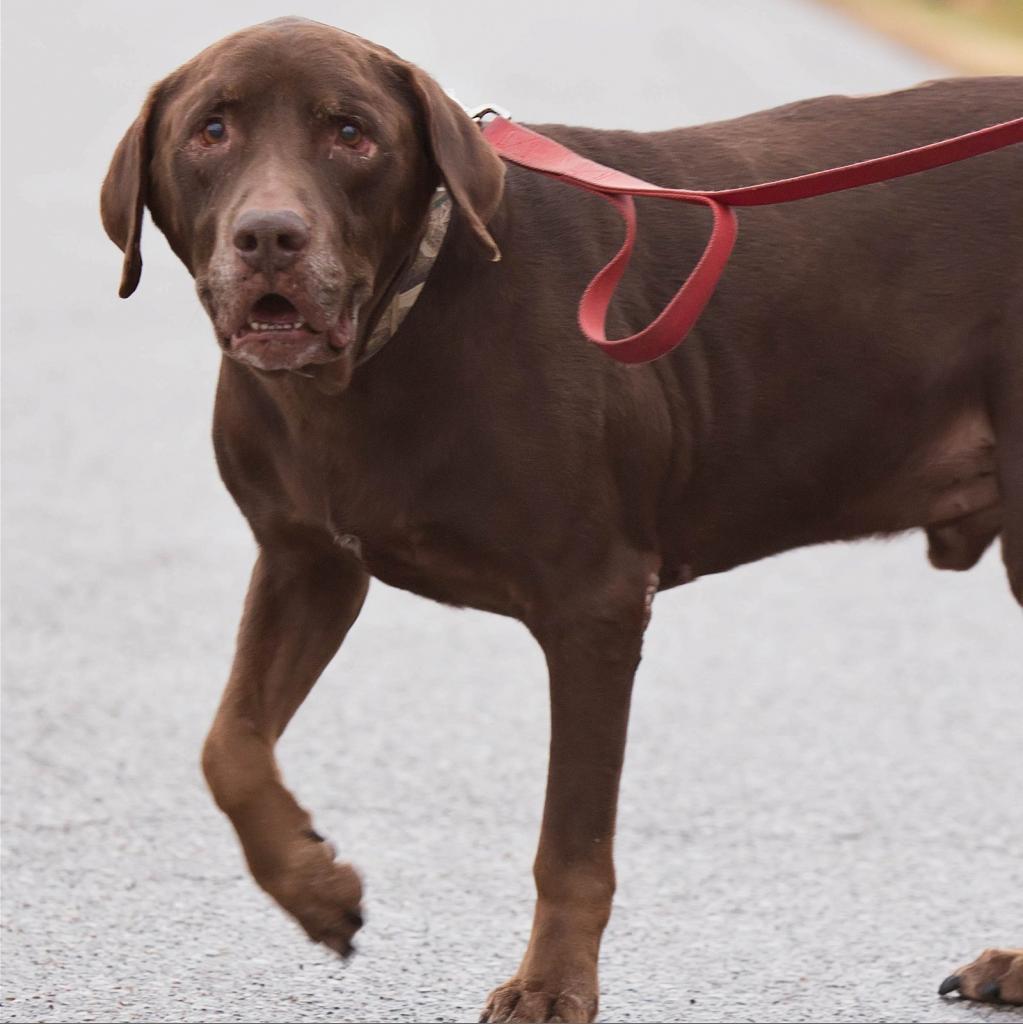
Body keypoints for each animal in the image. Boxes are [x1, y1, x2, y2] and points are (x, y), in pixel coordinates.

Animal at [99, 18, 1019, 1024]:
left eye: (351, 134)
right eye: (210, 131)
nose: (270, 235)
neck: (380, 349)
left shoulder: (595, 606)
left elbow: (570, 843)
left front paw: (551, 985)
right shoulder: (307, 561)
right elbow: (229, 747)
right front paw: (316, 888)